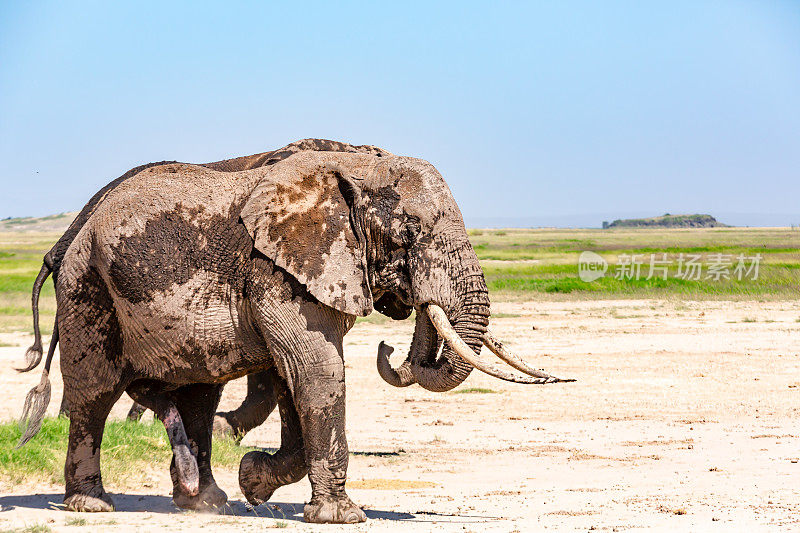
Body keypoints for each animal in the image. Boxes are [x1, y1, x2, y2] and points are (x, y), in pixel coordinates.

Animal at [17, 138, 568, 524]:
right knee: (94, 392)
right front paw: (342, 517)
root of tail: (69, 237)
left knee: (197, 395)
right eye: (409, 233)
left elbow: (293, 376)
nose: (390, 347)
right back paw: (92, 506)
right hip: (88, 288)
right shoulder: (278, 268)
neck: (353, 168)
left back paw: (209, 503)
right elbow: (315, 370)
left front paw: (254, 481)